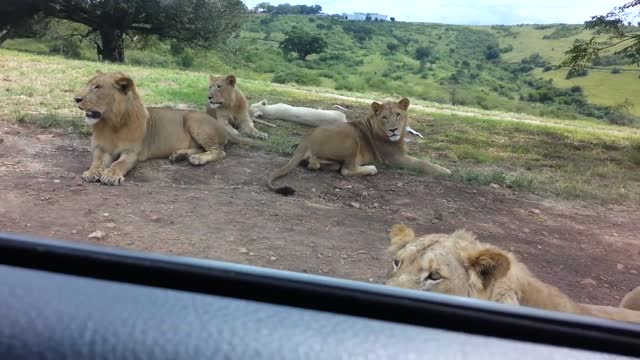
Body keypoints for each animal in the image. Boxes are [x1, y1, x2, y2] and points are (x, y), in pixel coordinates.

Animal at [74, 70, 256, 186]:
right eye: (88, 85)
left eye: (97, 87)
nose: (76, 98)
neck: (112, 123)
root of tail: (220, 124)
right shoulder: (101, 149)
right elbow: (97, 161)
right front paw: (92, 172)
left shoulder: (131, 153)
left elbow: (119, 164)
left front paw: (111, 176)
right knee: (201, 148)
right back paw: (179, 155)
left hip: (193, 120)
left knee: (219, 151)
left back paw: (198, 159)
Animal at [264, 97, 450, 195]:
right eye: (384, 117)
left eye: (398, 115)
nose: (393, 130)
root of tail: (306, 138)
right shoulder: (394, 158)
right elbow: (423, 163)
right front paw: (446, 171)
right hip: (352, 140)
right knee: (346, 170)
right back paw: (370, 169)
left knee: (315, 165)